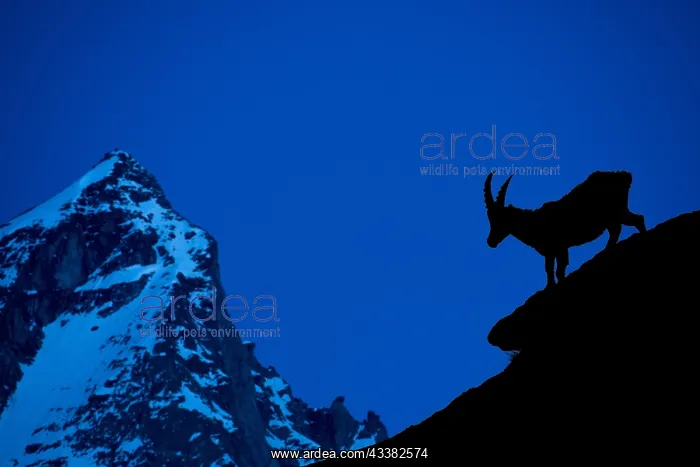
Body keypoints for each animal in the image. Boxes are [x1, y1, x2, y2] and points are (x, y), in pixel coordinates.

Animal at [483, 170, 646, 288]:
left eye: (501, 219)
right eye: (490, 220)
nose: (490, 241)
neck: (535, 222)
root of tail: (624, 176)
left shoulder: (561, 247)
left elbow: (559, 271)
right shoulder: (551, 252)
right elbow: (549, 270)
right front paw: (549, 287)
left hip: (615, 212)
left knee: (633, 221)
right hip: (614, 215)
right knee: (627, 224)